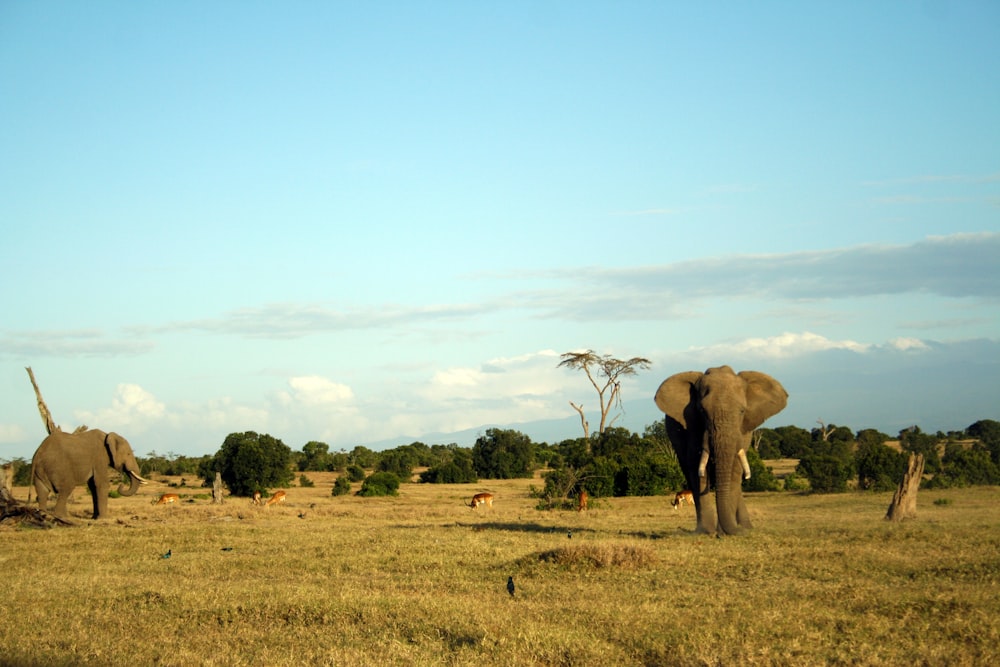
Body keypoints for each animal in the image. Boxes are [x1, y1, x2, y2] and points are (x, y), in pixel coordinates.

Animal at [656, 366, 788, 536]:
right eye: (702, 411)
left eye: (742, 411)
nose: (736, 532)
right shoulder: (691, 426)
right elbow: (696, 468)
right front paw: (706, 532)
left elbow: (734, 470)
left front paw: (725, 532)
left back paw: (745, 527)